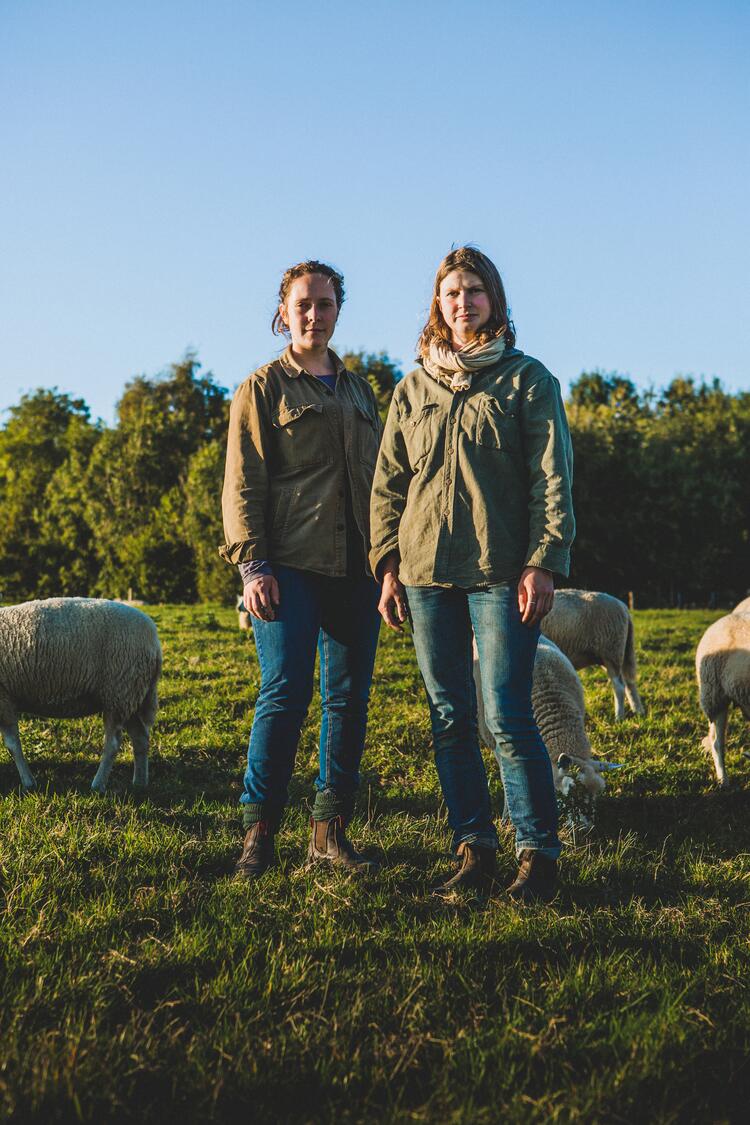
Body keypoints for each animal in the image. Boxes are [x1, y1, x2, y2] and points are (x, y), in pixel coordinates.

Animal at [0, 603, 161, 796]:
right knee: (141, 737)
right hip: (129, 696)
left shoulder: (4, 699)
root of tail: (154, 639)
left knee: (113, 744)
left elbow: (12, 745)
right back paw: (139, 783)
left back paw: (98, 785)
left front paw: (29, 783)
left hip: (119, 691)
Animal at [539, 589, 647, 720]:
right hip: (617, 652)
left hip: (611, 651)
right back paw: (637, 711)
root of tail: (623, 607)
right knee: (629, 682)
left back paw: (619, 717)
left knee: (619, 686)